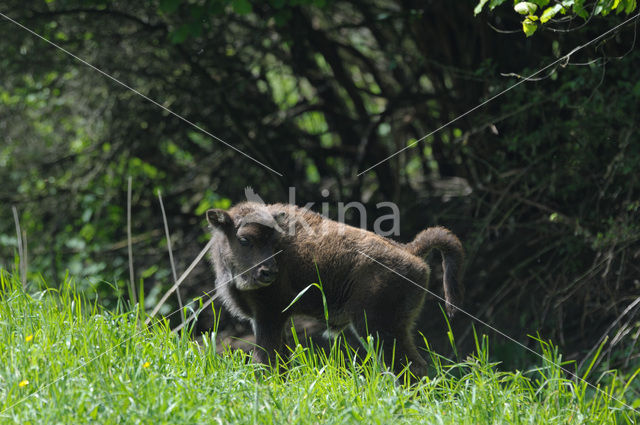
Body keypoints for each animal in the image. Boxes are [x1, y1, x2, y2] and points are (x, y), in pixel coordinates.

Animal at [208, 201, 462, 374]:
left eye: (273, 240)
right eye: (244, 239)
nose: (268, 272)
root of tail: (410, 251)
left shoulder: (268, 317)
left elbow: (268, 362)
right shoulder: (271, 321)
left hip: (375, 327)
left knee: (409, 366)